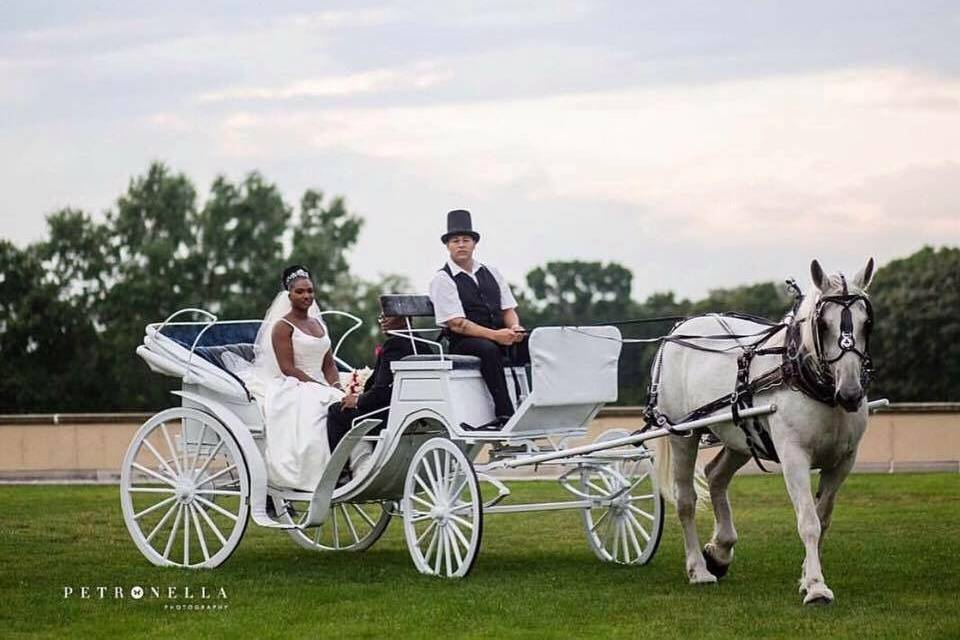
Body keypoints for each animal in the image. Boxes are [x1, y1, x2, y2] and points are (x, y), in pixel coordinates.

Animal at [652, 256, 876, 604]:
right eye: (824, 325)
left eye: (867, 323)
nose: (851, 394)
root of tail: (680, 329)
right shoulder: (793, 455)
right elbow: (808, 521)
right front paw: (816, 587)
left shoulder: (844, 461)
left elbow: (823, 518)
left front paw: (806, 576)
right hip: (683, 433)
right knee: (686, 499)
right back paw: (699, 569)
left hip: (742, 436)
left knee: (716, 475)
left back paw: (720, 551)